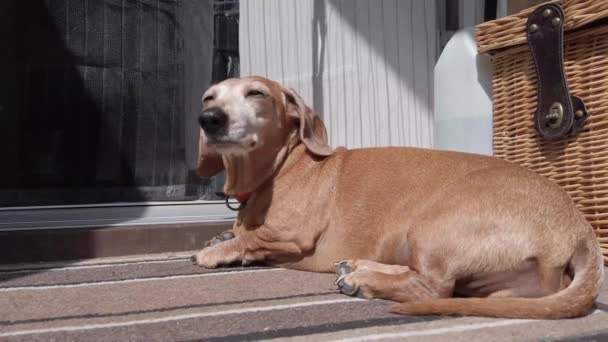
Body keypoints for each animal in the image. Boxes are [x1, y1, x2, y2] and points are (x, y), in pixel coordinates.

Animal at [191, 75, 604, 318]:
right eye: (208, 96)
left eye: (256, 93)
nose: (209, 118)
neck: (278, 169)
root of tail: (579, 226)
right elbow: (240, 233)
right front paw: (223, 238)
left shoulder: (293, 236)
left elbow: (253, 237)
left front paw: (217, 250)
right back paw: (357, 268)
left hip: (433, 224)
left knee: (432, 287)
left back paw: (363, 281)